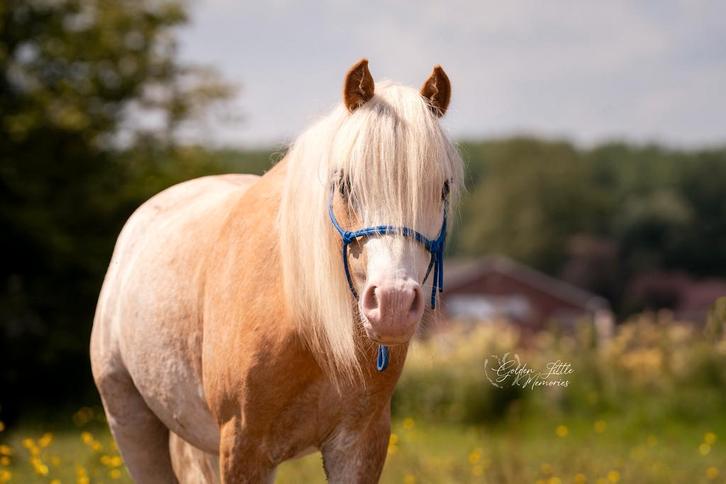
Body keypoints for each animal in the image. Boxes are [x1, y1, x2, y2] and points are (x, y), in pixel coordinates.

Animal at [90, 59, 464, 483]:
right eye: (344, 184)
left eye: (443, 189)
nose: (393, 303)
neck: (300, 319)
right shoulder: (243, 446)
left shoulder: (361, 444)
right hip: (130, 421)